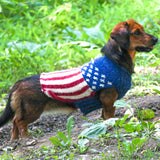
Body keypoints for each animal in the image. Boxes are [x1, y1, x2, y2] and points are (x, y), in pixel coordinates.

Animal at [0, 18, 158, 139]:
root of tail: (19, 82)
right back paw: (26, 138)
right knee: (19, 122)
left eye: (143, 29)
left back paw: (14, 141)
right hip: (32, 110)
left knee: (14, 122)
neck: (115, 61)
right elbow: (109, 117)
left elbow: (104, 117)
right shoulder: (108, 99)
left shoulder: (107, 102)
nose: (156, 39)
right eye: (137, 32)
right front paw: (110, 127)